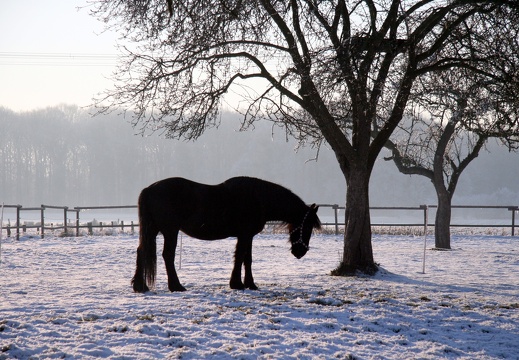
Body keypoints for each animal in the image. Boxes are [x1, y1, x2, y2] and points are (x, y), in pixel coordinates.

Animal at [132, 177, 320, 292]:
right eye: (307, 226)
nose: (300, 252)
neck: (258, 199)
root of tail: (149, 189)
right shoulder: (244, 235)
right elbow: (240, 257)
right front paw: (237, 284)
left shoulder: (248, 236)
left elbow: (247, 259)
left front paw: (250, 284)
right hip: (170, 231)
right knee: (168, 255)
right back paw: (176, 286)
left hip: (153, 230)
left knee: (142, 251)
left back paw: (140, 286)